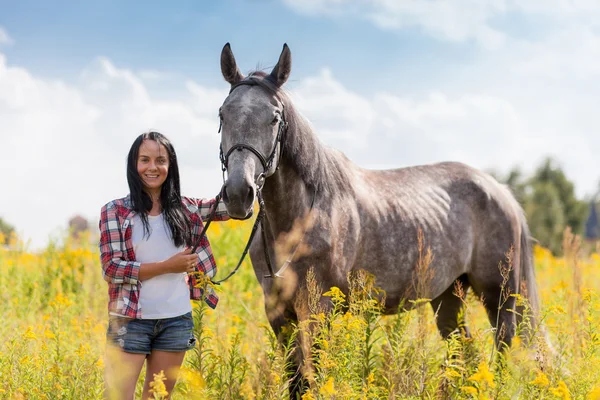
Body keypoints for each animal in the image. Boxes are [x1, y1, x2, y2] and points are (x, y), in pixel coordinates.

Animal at [214, 43, 540, 394]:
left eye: (275, 117)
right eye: (222, 114)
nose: (238, 193)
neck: (301, 217)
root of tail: (500, 190)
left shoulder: (319, 309)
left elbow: (314, 377)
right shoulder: (277, 312)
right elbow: (296, 381)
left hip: (499, 295)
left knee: (503, 347)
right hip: (448, 295)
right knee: (462, 351)